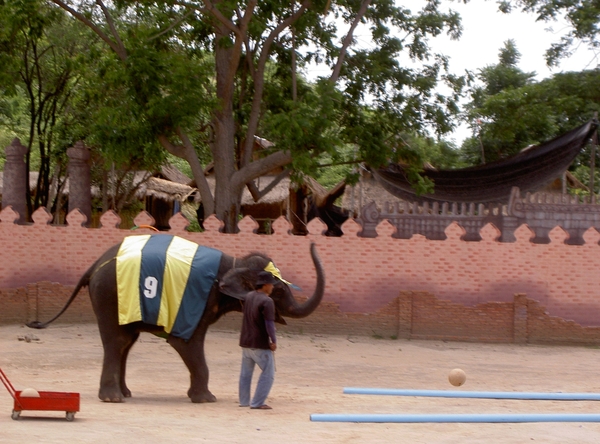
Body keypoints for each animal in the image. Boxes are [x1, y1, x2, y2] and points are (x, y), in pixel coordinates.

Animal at [29, 234, 324, 404]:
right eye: (279, 290)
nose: (313, 242)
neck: (234, 261)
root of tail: (94, 264)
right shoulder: (196, 303)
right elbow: (186, 344)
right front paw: (206, 399)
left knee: (126, 343)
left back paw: (125, 394)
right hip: (109, 296)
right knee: (118, 341)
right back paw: (113, 399)